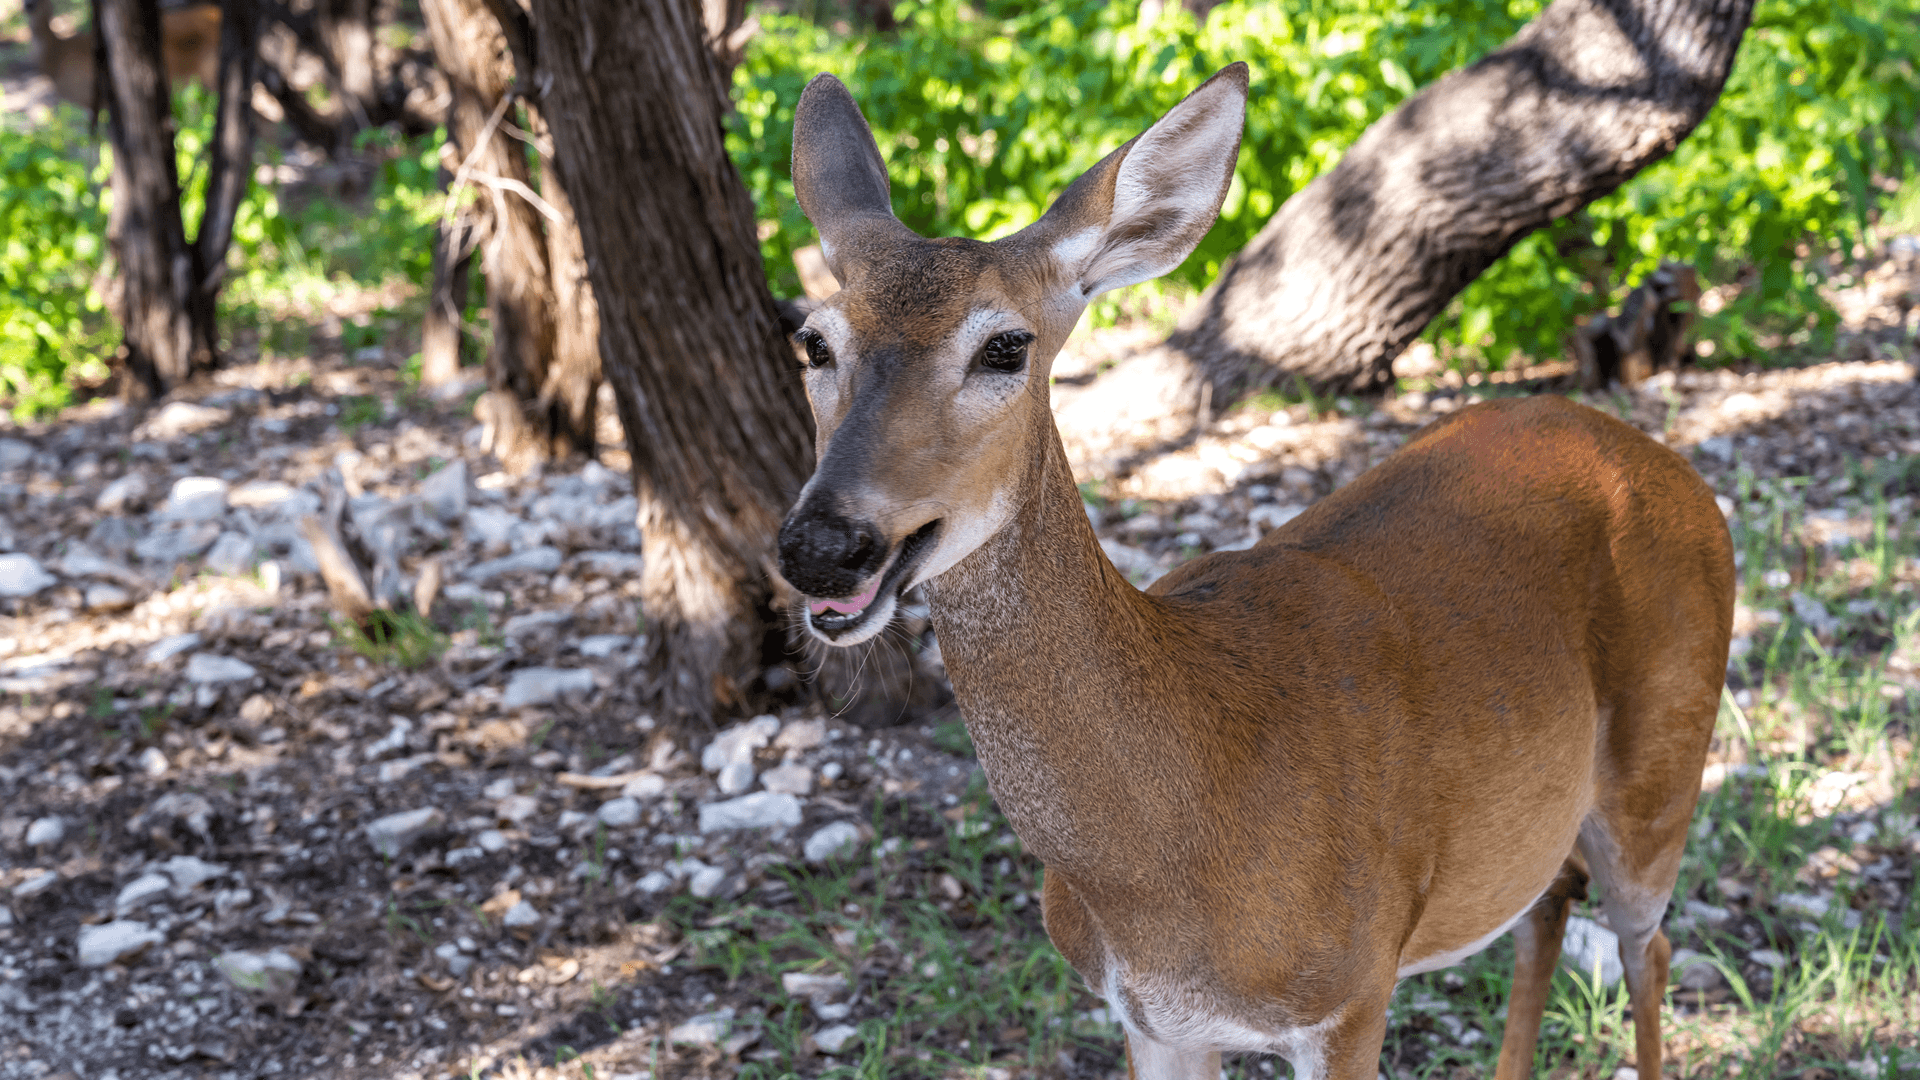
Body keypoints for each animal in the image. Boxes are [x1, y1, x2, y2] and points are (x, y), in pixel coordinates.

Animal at [775, 64, 1735, 1080]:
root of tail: (1664, 463)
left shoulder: (1351, 991)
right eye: (814, 341)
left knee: (1646, 944)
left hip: (1666, 762)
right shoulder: (1152, 1019)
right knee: (1545, 905)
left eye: (1006, 345)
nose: (824, 544)